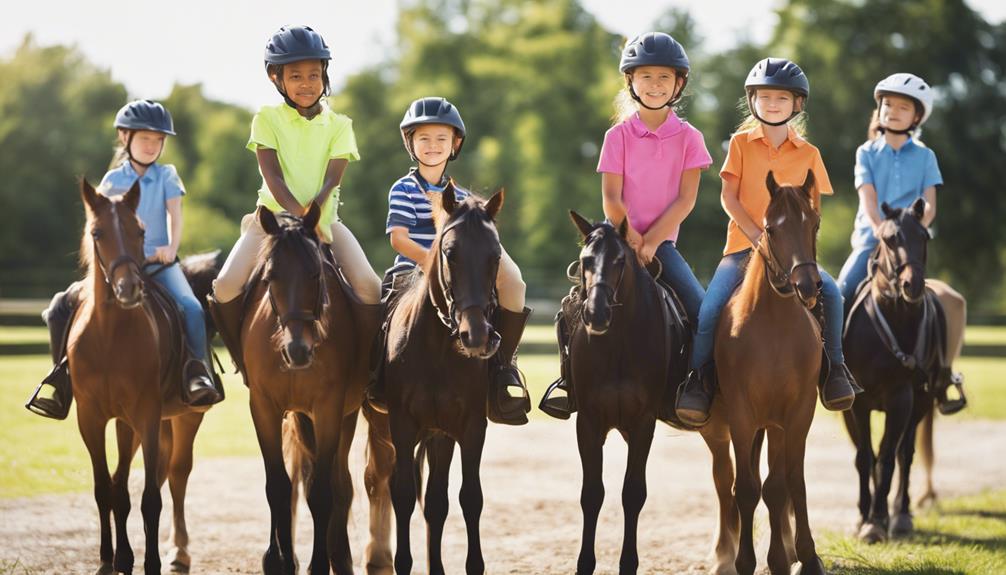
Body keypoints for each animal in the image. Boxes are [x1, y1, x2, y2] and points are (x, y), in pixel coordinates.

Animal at [69, 180, 215, 575]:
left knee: (176, 475)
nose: (129, 289)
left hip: (182, 417)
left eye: (141, 231)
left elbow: (150, 496)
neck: (108, 336)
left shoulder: (145, 414)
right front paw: (109, 560)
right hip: (132, 424)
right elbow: (105, 489)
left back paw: (178, 551)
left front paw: (150, 562)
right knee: (126, 483)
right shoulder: (91, 418)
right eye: (97, 232)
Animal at [239, 203, 388, 575]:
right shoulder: (263, 407)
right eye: (270, 278)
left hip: (344, 415)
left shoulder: (328, 408)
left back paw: (341, 559)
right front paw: (278, 561)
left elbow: (322, 492)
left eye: (315, 275)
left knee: (340, 486)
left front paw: (320, 564)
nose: (298, 350)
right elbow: (278, 486)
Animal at [382, 185, 507, 570]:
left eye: (495, 256)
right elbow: (403, 495)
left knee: (436, 503)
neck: (436, 346)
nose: (476, 336)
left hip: (439, 436)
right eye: (450, 253)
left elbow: (469, 498)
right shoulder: (402, 426)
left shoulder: (469, 427)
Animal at [567, 212, 740, 575]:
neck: (617, 341)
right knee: (724, 478)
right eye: (585, 260)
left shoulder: (642, 423)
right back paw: (724, 555)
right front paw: (585, 563)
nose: (596, 313)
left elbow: (633, 493)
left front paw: (628, 564)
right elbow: (592, 494)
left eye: (619, 260)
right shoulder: (588, 423)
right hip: (715, 429)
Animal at [720, 170, 828, 575]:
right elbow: (748, 488)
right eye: (771, 228)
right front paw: (745, 561)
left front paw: (798, 558)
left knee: (782, 482)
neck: (773, 328)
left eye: (815, 223)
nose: (807, 285)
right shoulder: (740, 415)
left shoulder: (795, 414)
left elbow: (787, 484)